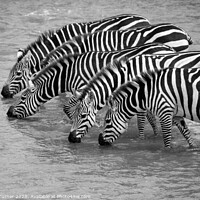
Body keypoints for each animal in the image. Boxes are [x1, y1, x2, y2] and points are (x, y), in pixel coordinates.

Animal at [5, 43, 176, 119]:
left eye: (23, 98)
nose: (8, 112)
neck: (69, 73)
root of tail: (168, 48)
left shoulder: (82, 88)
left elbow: (67, 108)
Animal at [64, 51, 200, 145]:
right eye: (73, 115)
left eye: (82, 116)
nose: (70, 139)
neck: (126, 75)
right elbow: (152, 119)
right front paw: (156, 135)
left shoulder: (141, 96)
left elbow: (141, 122)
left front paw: (141, 139)